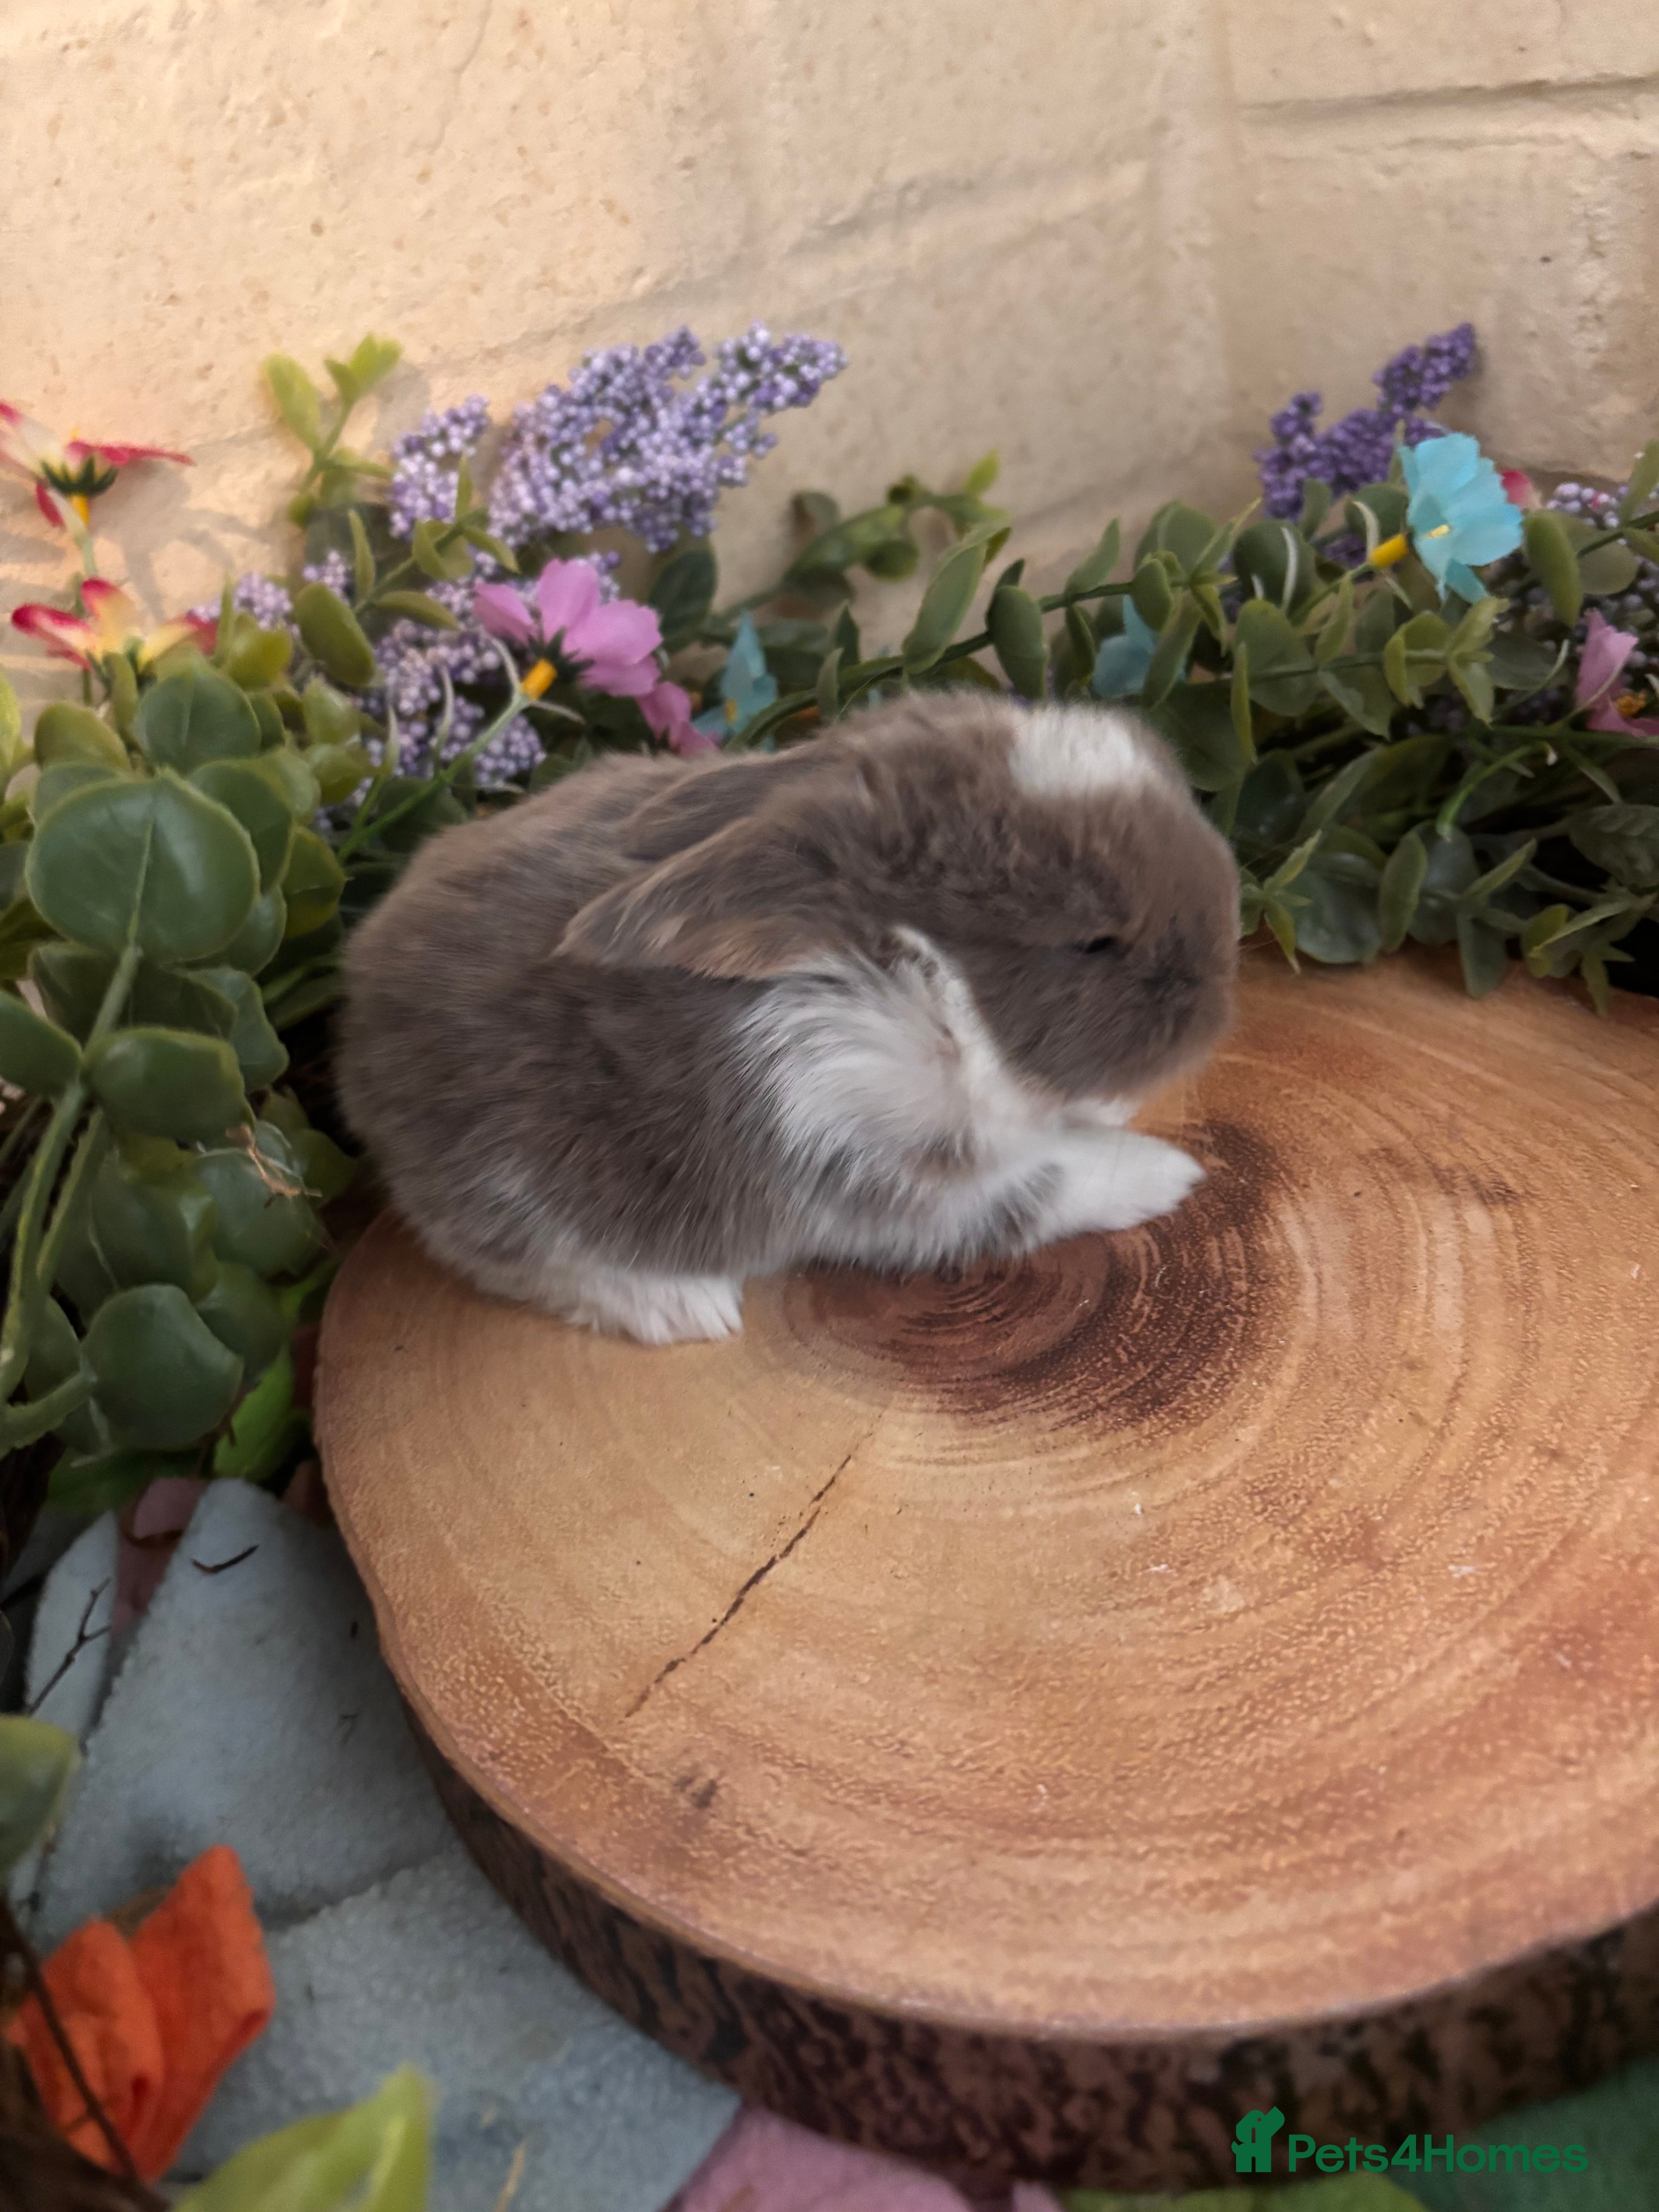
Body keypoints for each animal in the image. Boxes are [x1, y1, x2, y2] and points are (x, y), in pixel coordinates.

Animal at [336, 691, 1239, 1345]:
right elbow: (1047, 1186)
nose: (1224, 982)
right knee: (516, 1258)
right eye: (1092, 941)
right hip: (521, 1191)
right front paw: (1171, 1175)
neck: (918, 994)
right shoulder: (880, 1166)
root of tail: (360, 1006)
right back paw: (685, 1311)